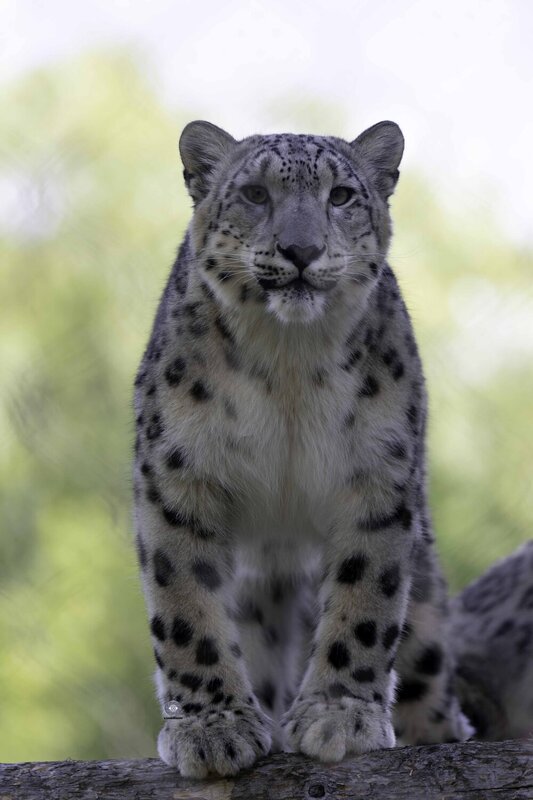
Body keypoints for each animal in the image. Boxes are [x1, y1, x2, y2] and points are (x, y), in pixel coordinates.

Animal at [133, 120, 474, 778]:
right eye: (255, 194)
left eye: (340, 195)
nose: (300, 250)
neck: (288, 364)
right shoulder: (179, 475)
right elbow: (185, 601)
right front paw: (213, 728)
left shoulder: (377, 472)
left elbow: (366, 598)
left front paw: (339, 718)